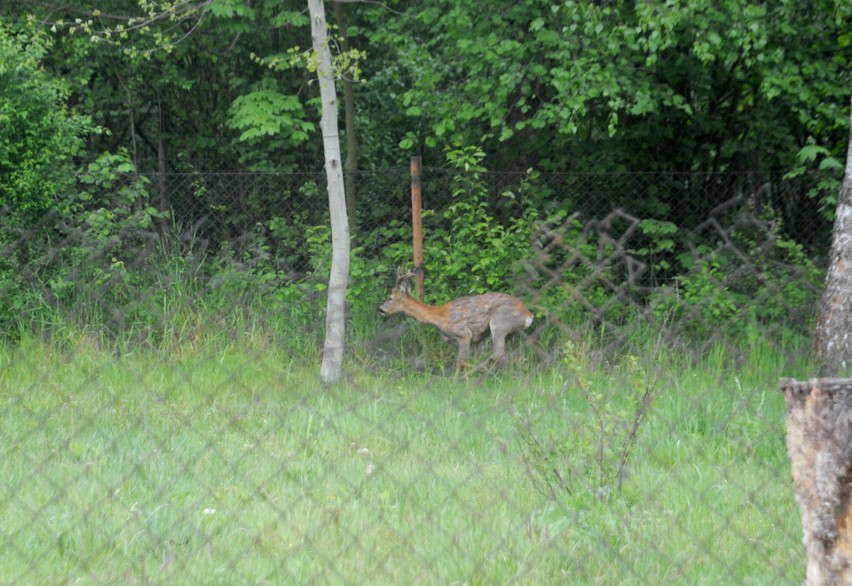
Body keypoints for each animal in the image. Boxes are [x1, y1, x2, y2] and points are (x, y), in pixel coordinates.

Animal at [380, 270, 532, 374]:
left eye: (390, 298)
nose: (380, 309)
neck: (438, 316)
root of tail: (528, 314)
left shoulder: (463, 334)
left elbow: (460, 361)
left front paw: (456, 380)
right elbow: (464, 360)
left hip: (499, 323)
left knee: (499, 354)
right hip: (509, 332)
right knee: (502, 355)